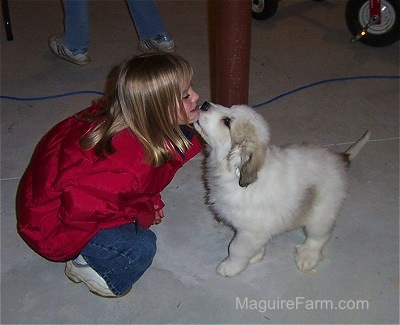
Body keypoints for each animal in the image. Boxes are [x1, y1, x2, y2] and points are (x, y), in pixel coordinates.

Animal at [194, 101, 368, 276]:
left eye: (227, 121)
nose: (204, 104)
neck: (231, 172)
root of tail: (338, 159)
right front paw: (255, 256)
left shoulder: (249, 232)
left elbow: (236, 249)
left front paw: (230, 267)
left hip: (321, 214)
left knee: (319, 237)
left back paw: (307, 256)